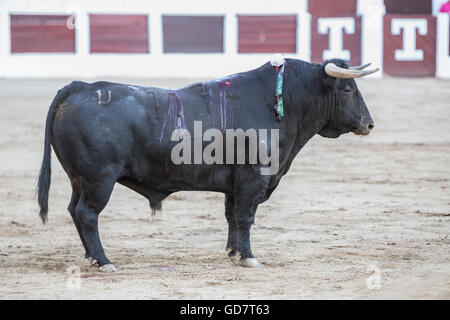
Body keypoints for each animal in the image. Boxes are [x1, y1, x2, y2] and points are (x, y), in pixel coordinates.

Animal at [37, 58, 376, 272]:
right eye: (348, 90)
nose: (369, 124)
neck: (280, 104)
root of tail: (81, 87)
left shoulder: (234, 184)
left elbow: (231, 217)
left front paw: (233, 252)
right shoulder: (253, 179)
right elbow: (245, 218)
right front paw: (249, 257)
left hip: (78, 179)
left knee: (74, 211)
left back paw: (91, 257)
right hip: (99, 180)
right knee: (87, 214)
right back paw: (104, 261)